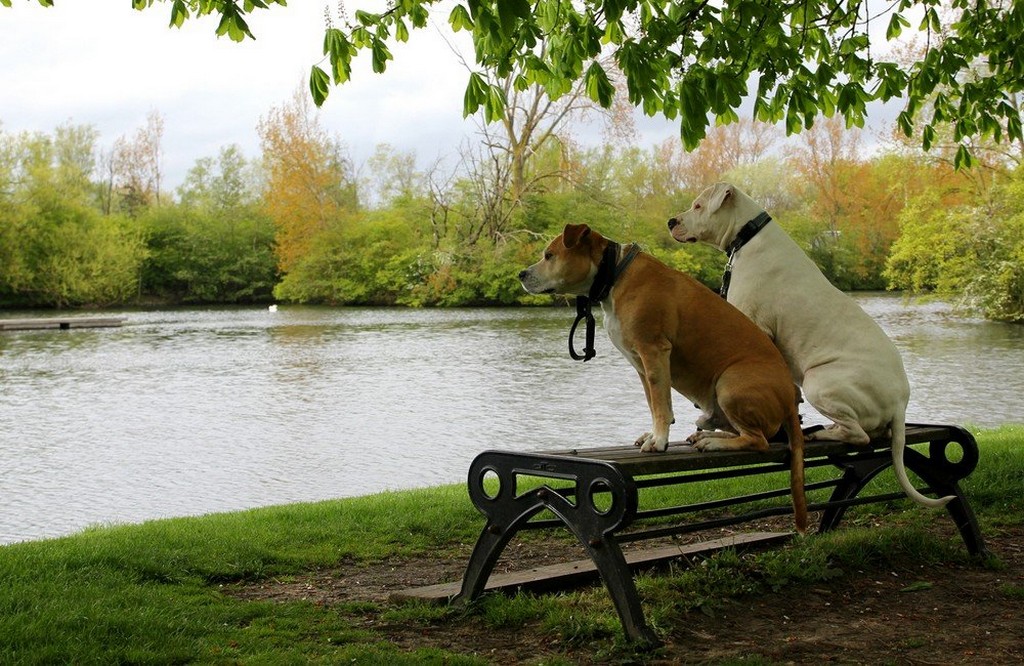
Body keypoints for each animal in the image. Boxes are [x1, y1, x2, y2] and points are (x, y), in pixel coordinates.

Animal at [520, 225, 806, 532]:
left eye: (549, 255)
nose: (521, 274)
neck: (615, 274)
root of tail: (790, 399)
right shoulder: (641, 364)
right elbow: (653, 403)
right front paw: (654, 433)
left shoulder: (654, 352)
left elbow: (660, 403)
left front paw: (658, 441)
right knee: (748, 432)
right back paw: (709, 434)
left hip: (730, 382)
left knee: (758, 440)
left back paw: (714, 442)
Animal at [667, 181, 954, 508]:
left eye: (698, 206)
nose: (671, 222)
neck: (747, 235)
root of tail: (900, 402)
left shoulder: (754, 328)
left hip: (819, 381)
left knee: (859, 435)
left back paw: (821, 434)